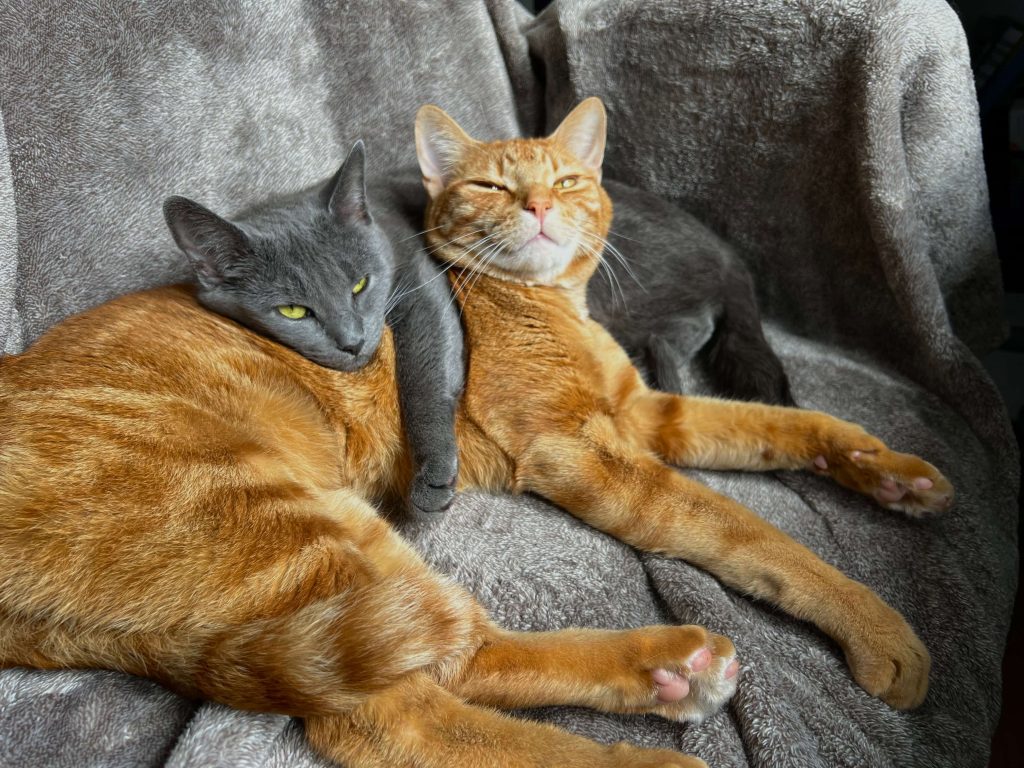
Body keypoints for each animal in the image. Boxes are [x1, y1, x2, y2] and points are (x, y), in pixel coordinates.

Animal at [411, 97, 954, 716]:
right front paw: (874, 625)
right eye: (490, 185)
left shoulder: (640, 410)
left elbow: (778, 421)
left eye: (566, 181)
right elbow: (747, 530)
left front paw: (881, 467)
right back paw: (671, 663)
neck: (555, 306)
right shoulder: (573, 448)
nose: (540, 204)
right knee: (448, 669)